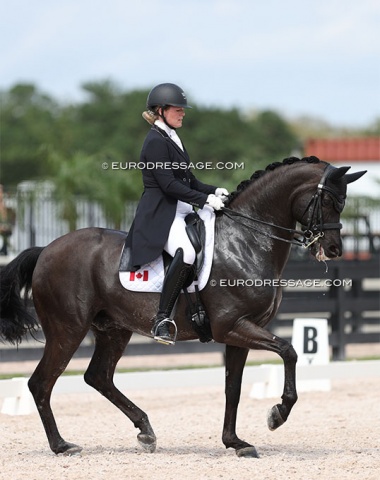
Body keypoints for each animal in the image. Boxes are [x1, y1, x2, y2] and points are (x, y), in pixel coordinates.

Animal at [0, 157, 366, 458]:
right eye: (329, 201)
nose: (334, 249)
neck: (246, 241)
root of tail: (46, 249)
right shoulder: (233, 327)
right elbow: (289, 351)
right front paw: (277, 414)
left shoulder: (239, 333)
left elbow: (232, 387)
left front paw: (236, 442)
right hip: (68, 329)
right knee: (41, 383)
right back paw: (62, 446)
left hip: (113, 329)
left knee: (98, 376)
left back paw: (146, 432)